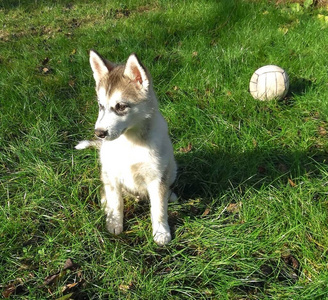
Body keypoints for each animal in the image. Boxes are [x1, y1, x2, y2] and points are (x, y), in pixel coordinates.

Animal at [75, 50, 177, 245]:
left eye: (121, 106)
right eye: (101, 105)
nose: (99, 133)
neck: (130, 142)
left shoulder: (157, 176)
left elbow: (159, 208)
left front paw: (161, 232)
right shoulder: (112, 174)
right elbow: (116, 203)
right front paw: (114, 224)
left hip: (172, 167)